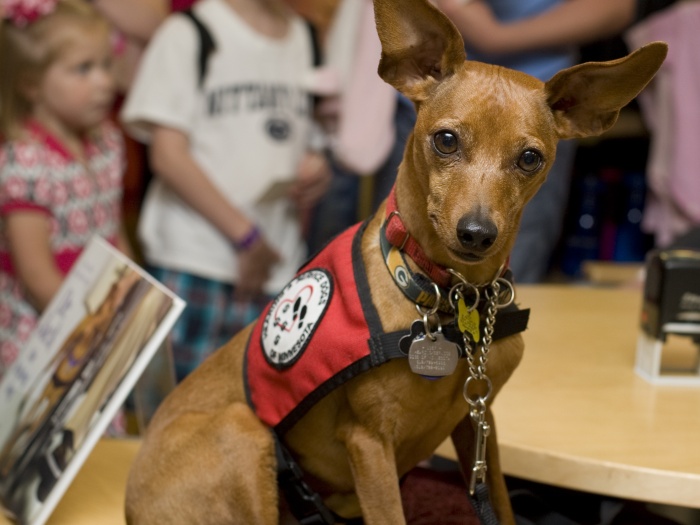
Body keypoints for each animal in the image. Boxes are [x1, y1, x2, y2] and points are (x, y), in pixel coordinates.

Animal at [124, 0, 668, 520]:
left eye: (530, 158)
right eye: (446, 140)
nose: (476, 234)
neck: (452, 301)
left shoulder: (480, 423)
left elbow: (503, 505)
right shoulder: (369, 445)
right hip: (243, 430)